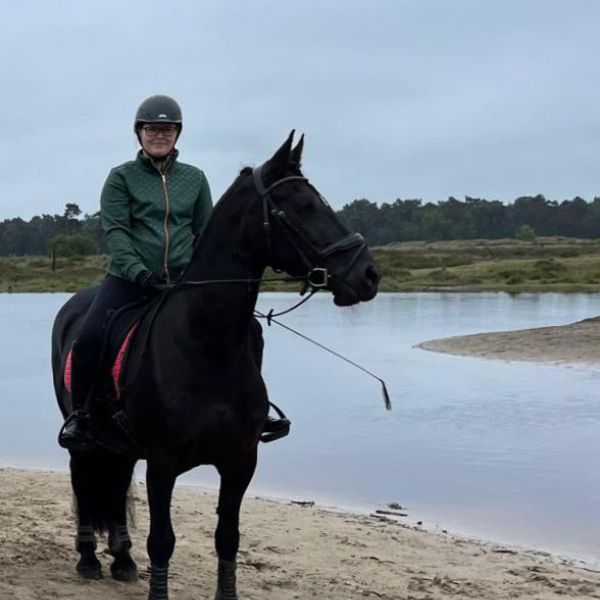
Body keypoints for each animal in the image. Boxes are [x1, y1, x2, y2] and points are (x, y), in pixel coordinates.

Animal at [52, 132, 380, 600]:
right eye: (302, 206)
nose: (368, 275)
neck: (206, 345)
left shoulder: (240, 461)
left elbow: (228, 538)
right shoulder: (164, 463)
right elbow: (162, 542)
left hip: (123, 445)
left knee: (116, 482)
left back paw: (123, 560)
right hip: (85, 436)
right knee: (83, 479)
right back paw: (88, 559)